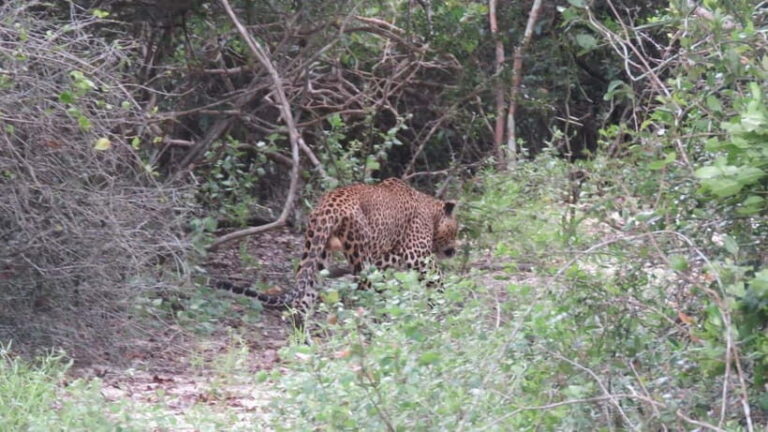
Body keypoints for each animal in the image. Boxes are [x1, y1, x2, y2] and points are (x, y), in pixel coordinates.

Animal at [218, 177, 459, 315]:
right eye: (457, 230)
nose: (455, 250)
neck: (431, 212)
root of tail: (329, 204)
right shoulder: (415, 254)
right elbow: (436, 276)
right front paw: (446, 300)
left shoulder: (385, 257)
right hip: (360, 255)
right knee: (363, 292)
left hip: (317, 251)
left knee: (305, 294)